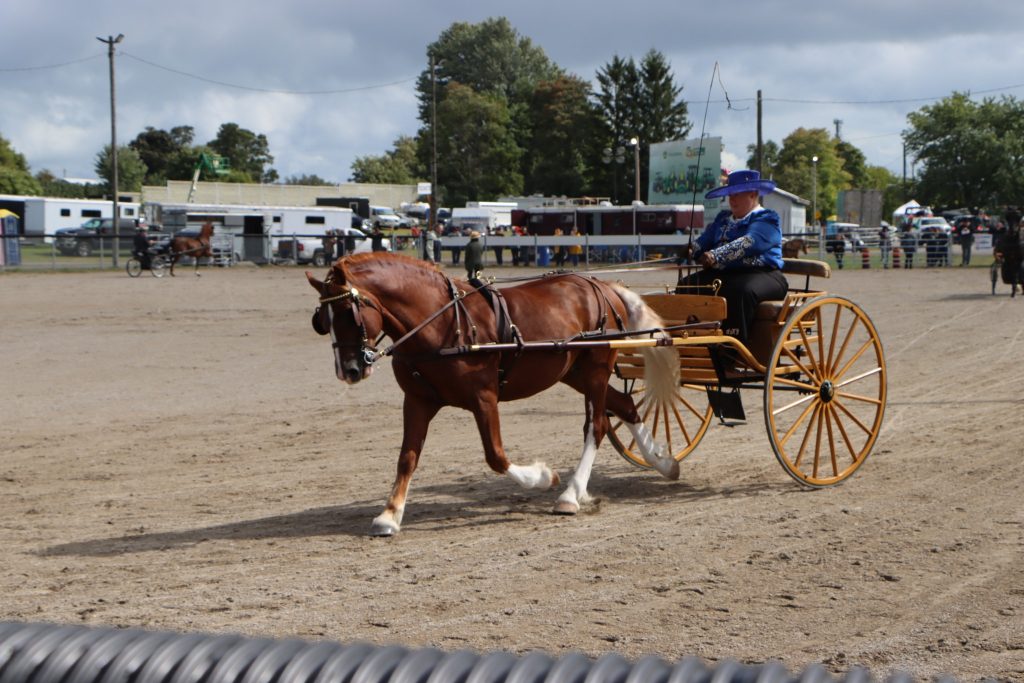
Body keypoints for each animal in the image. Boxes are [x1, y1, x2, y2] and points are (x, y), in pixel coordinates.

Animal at [306, 252, 681, 536]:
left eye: (348, 312)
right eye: (322, 318)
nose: (349, 370)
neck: (442, 322)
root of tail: (602, 285)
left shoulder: (484, 398)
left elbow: (496, 456)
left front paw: (542, 477)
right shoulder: (417, 401)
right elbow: (407, 458)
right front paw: (389, 514)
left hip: (596, 369)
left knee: (598, 425)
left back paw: (571, 494)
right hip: (573, 372)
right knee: (626, 404)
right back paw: (664, 463)